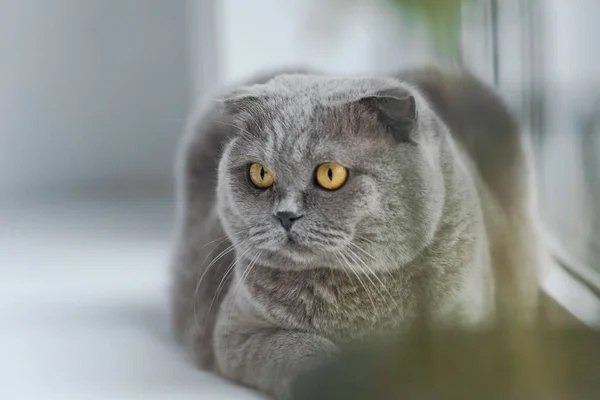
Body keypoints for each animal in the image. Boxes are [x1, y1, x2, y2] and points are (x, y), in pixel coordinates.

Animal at [169, 67, 544, 398]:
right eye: (260, 174)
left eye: (330, 174)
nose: (285, 215)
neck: (357, 291)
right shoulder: (237, 331)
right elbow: (299, 348)